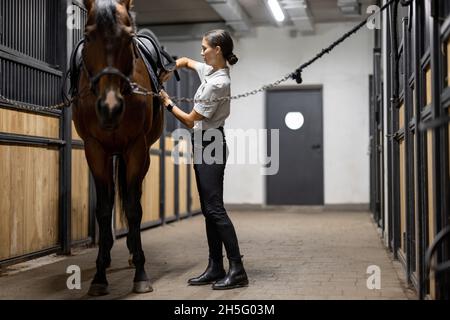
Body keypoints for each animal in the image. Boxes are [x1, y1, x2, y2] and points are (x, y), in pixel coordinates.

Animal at [72, 0, 165, 296]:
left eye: (127, 37)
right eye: (88, 35)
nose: (110, 108)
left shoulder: (136, 149)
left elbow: (134, 208)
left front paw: (141, 274)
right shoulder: (95, 150)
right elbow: (103, 210)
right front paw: (99, 276)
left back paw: (133, 253)